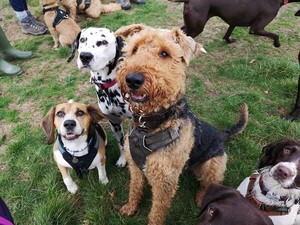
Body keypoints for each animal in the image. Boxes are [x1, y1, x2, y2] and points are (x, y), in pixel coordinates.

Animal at [115, 24, 248, 225]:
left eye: (164, 53)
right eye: (135, 49)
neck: (149, 124)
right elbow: (135, 189)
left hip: (212, 165)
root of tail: (221, 135)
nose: (132, 79)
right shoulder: (136, 168)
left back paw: (201, 198)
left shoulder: (164, 180)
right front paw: (130, 208)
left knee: (210, 183)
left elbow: (157, 211)